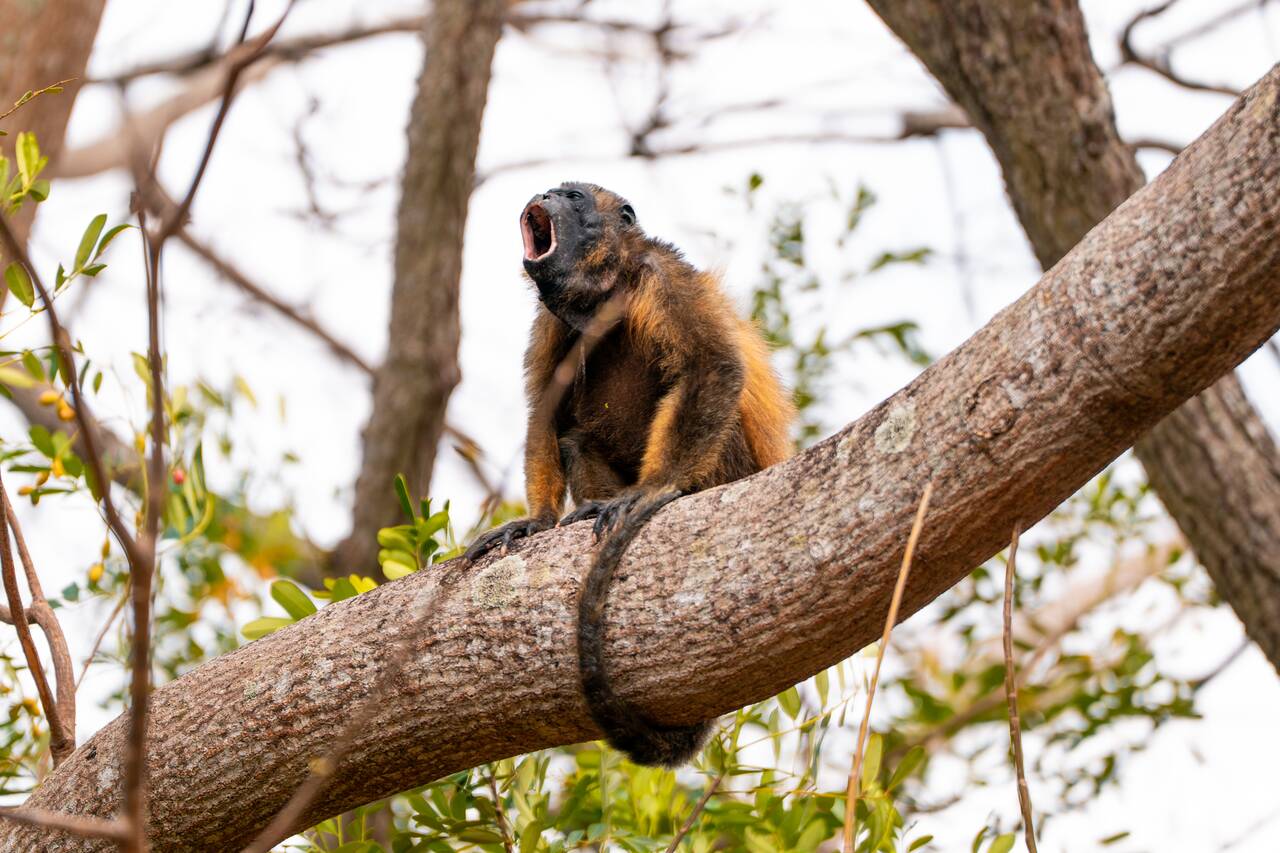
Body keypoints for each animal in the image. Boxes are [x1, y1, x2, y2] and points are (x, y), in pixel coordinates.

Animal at [464, 181, 794, 767]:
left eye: (573, 195)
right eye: (554, 191)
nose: (546, 193)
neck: (603, 290)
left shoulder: (663, 274)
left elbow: (713, 366)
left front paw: (653, 490)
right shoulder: (551, 321)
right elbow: (545, 412)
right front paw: (537, 521)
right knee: (574, 436)